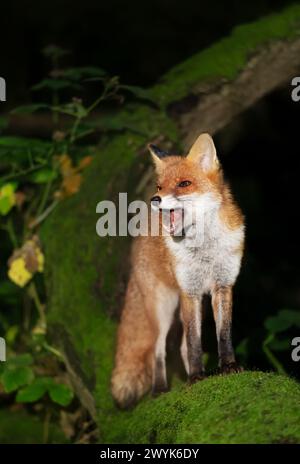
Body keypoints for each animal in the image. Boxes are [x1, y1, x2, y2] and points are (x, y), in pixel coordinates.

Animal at [111, 132, 245, 408]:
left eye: (184, 183)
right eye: (159, 186)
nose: (155, 199)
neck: (205, 250)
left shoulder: (222, 286)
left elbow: (223, 335)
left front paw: (227, 367)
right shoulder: (189, 291)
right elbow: (193, 343)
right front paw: (195, 377)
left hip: (195, 306)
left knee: (181, 346)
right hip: (163, 307)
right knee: (158, 348)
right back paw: (160, 388)